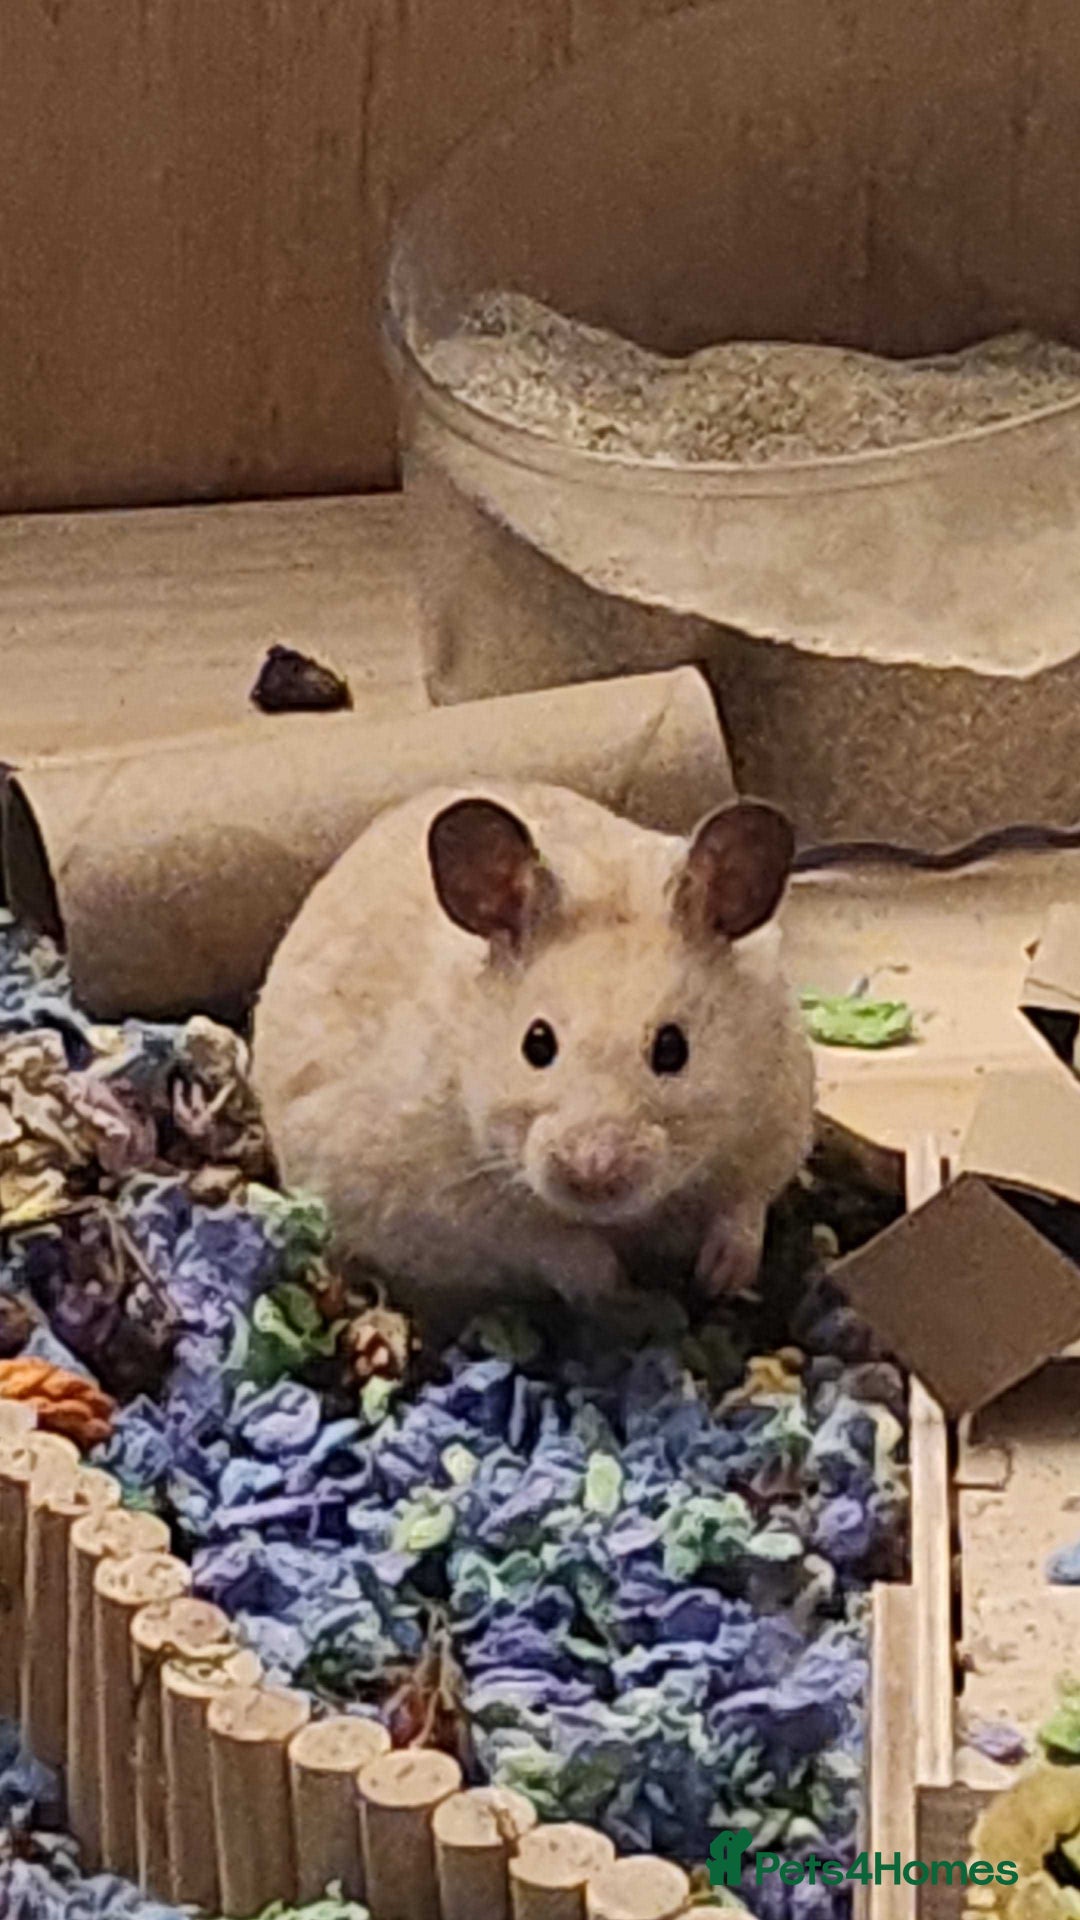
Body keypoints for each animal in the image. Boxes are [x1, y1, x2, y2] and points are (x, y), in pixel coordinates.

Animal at [251, 783, 814, 1324]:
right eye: (536, 1043)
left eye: (673, 1048)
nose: (593, 1176)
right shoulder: (445, 1206)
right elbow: (550, 1244)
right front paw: (617, 1291)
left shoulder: (778, 1116)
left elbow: (745, 1206)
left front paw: (722, 1279)